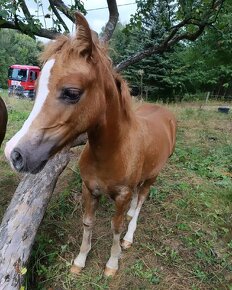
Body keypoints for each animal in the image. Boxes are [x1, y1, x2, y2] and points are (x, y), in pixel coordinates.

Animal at [4, 13, 176, 276]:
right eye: (37, 88)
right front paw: (80, 260)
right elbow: (87, 222)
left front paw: (112, 263)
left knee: (141, 201)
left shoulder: (122, 196)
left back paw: (129, 237)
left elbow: (116, 228)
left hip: (153, 177)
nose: (14, 154)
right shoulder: (89, 189)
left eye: (72, 92)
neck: (113, 152)